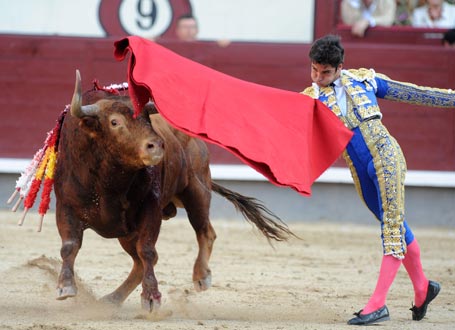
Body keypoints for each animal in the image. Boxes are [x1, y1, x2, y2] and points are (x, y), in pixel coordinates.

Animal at [54, 71, 296, 310]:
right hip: (129, 231)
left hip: (197, 191)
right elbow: (69, 246)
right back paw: (112, 298)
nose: (156, 145)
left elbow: (147, 250)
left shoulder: (150, 207)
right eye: (114, 122)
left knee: (204, 232)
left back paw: (201, 276)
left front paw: (151, 297)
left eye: (147, 118)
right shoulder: (66, 207)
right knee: (138, 262)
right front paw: (66, 286)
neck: (109, 181)